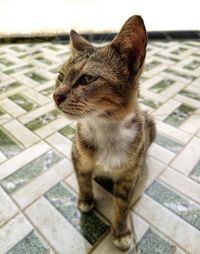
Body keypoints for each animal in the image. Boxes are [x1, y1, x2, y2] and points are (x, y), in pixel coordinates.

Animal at [53, 15, 156, 250]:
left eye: (87, 79)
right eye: (60, 77)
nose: (56, 96)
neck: (105, 128)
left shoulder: (129, 176)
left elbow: (122, 205)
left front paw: (121, 232)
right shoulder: (77, 155)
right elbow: (83, 180)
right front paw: (85, 200)